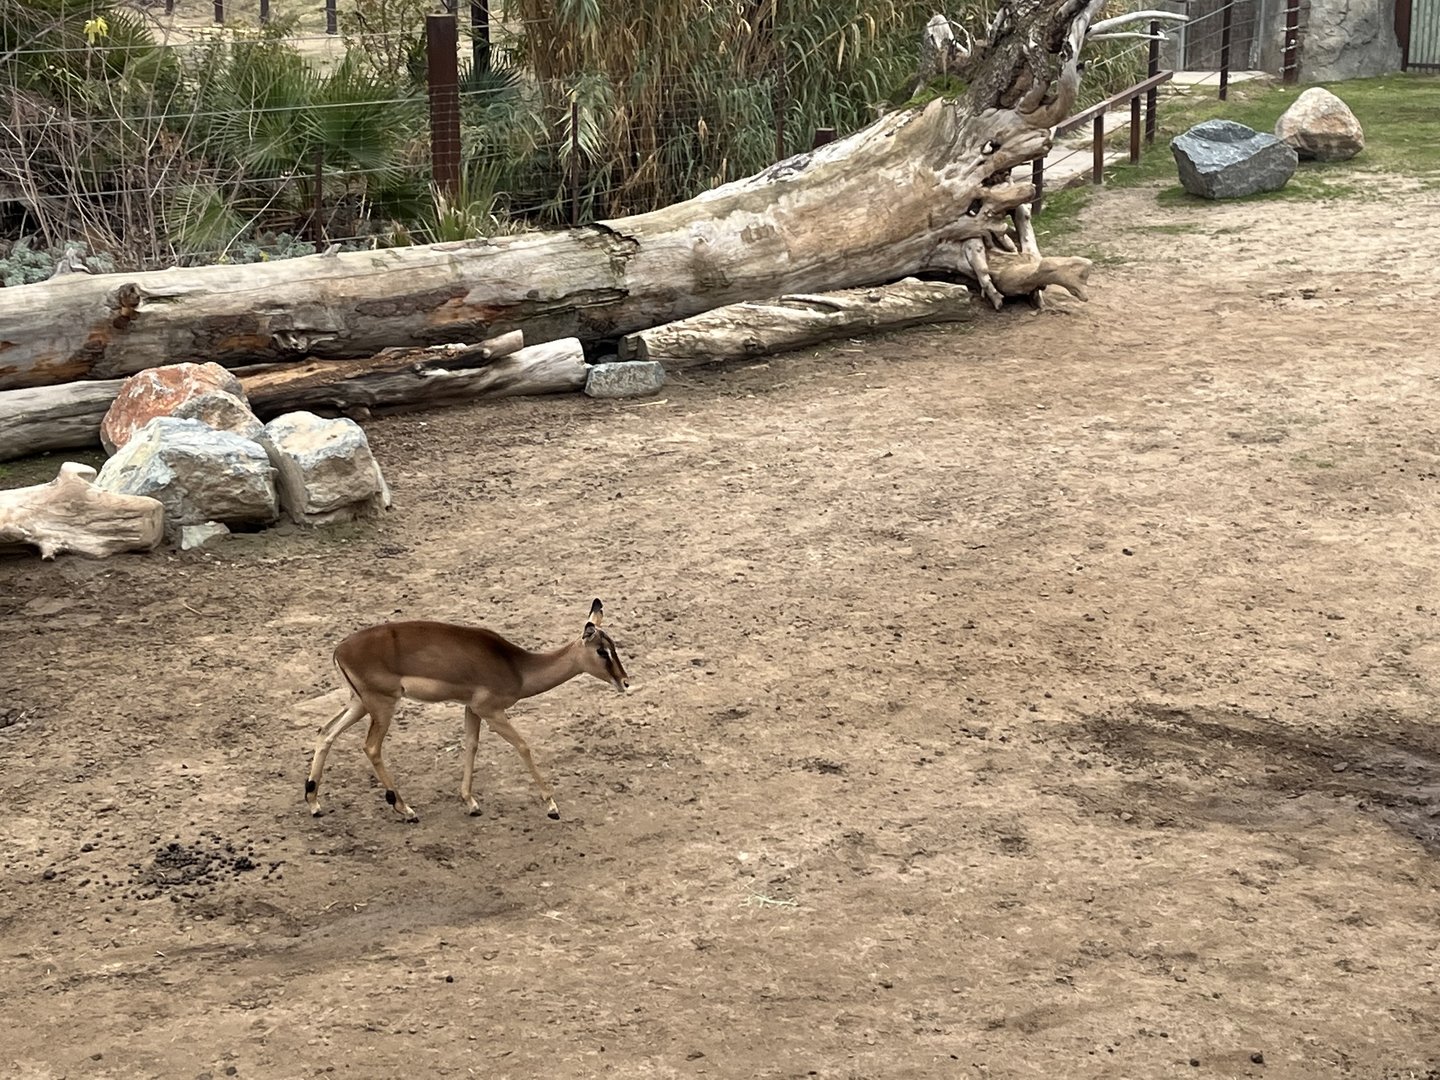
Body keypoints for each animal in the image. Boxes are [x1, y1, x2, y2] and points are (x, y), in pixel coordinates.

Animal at [304, 598, 629, 822]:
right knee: (370, 747)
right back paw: (406, 809)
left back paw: (314, 803)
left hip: (359, 703)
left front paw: (471, 803)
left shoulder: (472, 710)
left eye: (614, 646)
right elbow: (523, 745)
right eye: (602, 650)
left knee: (325, 731)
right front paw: (552, 806)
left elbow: (471, 745)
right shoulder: (491, 711)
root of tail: (339, 651)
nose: (625, 681)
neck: (518, 667)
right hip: (382, 706)